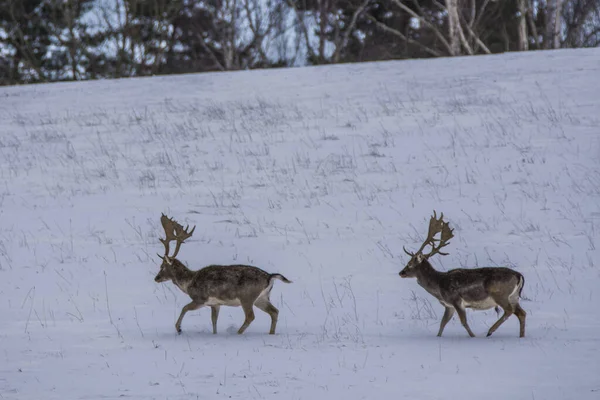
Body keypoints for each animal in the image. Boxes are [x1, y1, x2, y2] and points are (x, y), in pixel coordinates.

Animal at [154, 214, 292, 336]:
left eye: (162, 266)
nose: (156, 278)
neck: (189, 283)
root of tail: (269, 276)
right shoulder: (215, 304)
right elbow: (214, 321)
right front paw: (214, 334)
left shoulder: (200, 298)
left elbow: (185, 308)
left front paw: (179, 329)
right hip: (262, 297)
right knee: (274, 311)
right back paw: (271, 333)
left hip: (247, 296)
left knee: (250, 316)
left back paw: (238, 333)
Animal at [400, 211, 528, 340]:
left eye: (409, 263)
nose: (401, 273)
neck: (439, 286)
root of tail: (519, 276)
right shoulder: (449, 305)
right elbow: (443, 323)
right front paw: (438, 337)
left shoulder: (456, 300)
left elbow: (463, 322)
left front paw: (473, 336)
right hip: (513, 296)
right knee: (522, 313)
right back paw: (521, 336)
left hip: (500, 294)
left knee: (509, 311)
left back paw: (490, 331)